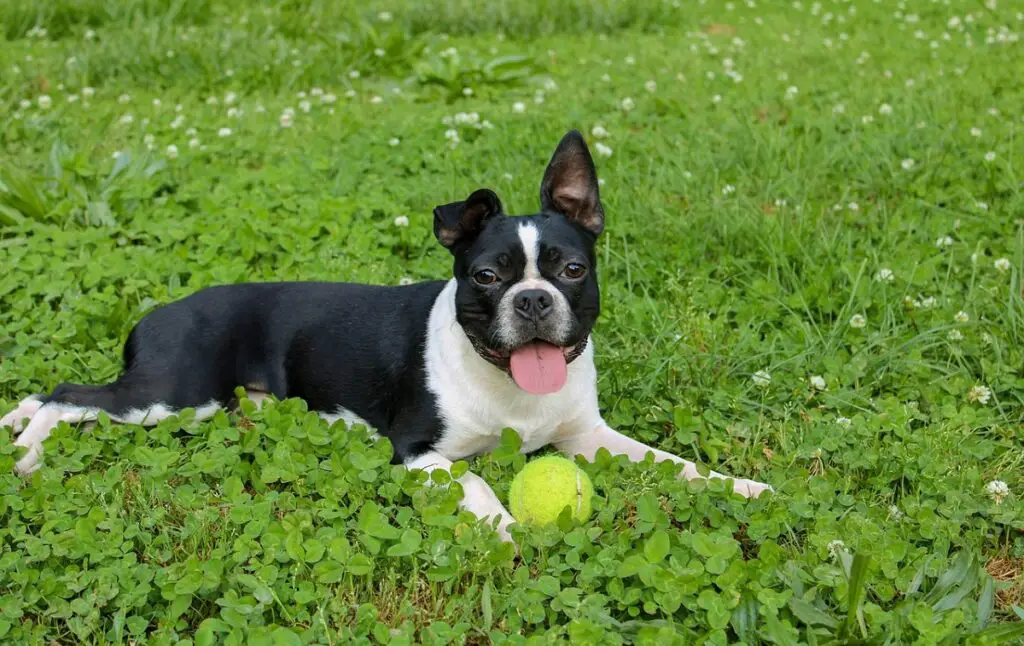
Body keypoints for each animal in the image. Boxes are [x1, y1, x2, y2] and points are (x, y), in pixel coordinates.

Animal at [0, 130, 770, 540]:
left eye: (573, 270)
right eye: (486, 276)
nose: (531, 300)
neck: (509, 386)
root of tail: (160, 310)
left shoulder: (588, 436)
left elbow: (670, 461)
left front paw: (744, 486)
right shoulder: (418, 453)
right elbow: (479, 482)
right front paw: (505, 530)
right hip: (172, 394)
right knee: (67, 393)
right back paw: (29, 452)